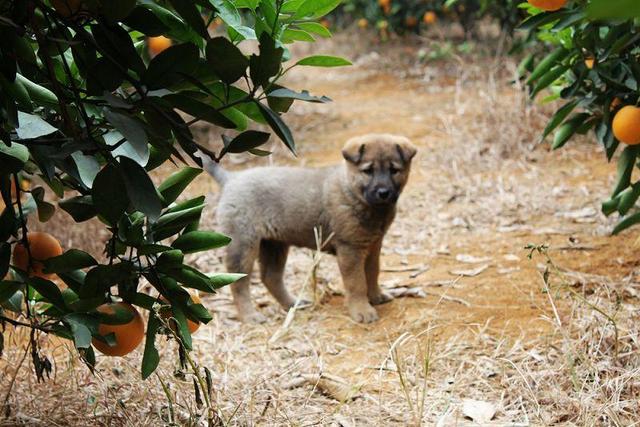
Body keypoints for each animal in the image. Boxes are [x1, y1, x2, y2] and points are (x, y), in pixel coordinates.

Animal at [202, 134, 418, 324]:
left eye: (394, 170)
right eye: (368, 171)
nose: (384, 193)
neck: (352, 192)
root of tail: (232, 178)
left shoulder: (373, 245)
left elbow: (372, 273)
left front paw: (376, 296)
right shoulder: (350, 249)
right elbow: (356, 283)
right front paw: (362, 311)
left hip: (275, 244)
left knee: (270, 277)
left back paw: (292, 304)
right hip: (243, 244)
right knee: (239, 283)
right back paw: (250, 316)